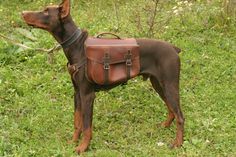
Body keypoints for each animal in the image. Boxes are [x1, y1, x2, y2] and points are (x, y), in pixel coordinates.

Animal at [21, 0, 184, 154]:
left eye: (46, 11)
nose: (22, 13)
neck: (77, 46)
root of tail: (174, 48)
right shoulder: (77, 93)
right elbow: (77, 121)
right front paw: (73, 142)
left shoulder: (87, 94)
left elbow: (87, 126)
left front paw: (82, 147)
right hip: (158, 84)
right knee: (171, 109)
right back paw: (164, 126)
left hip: (170, 85)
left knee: (180, 116)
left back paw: (178, 143)